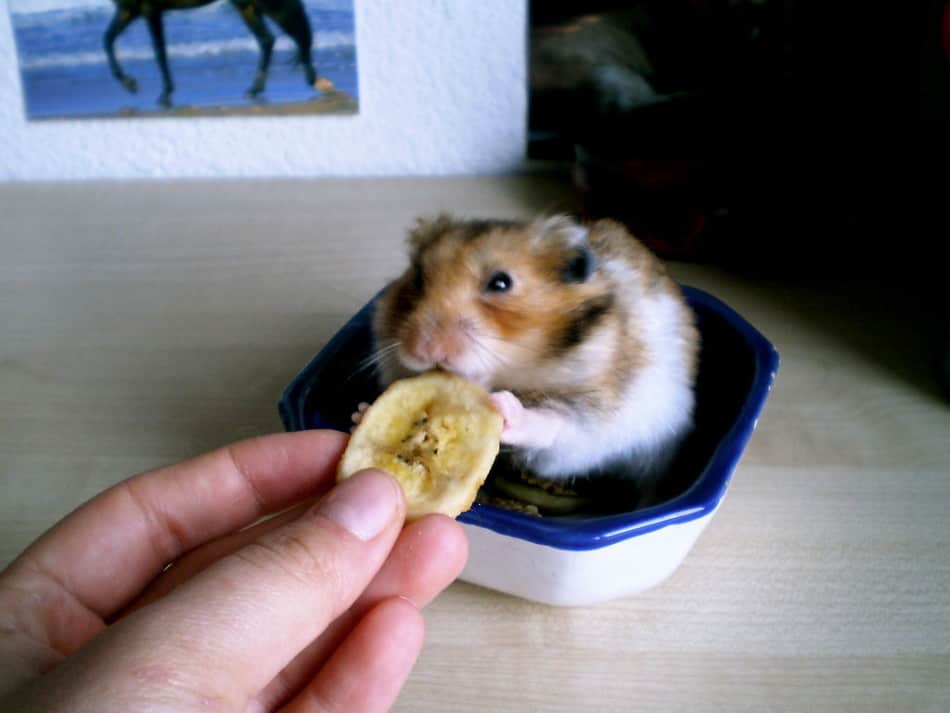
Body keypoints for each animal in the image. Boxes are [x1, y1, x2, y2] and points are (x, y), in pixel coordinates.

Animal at [368, 214, 704, 492]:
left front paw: (504, 407)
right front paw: (362, 410)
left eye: (501, 282)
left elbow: (553, 424)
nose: (423, 349)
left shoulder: (594, 415)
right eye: (418, 278)